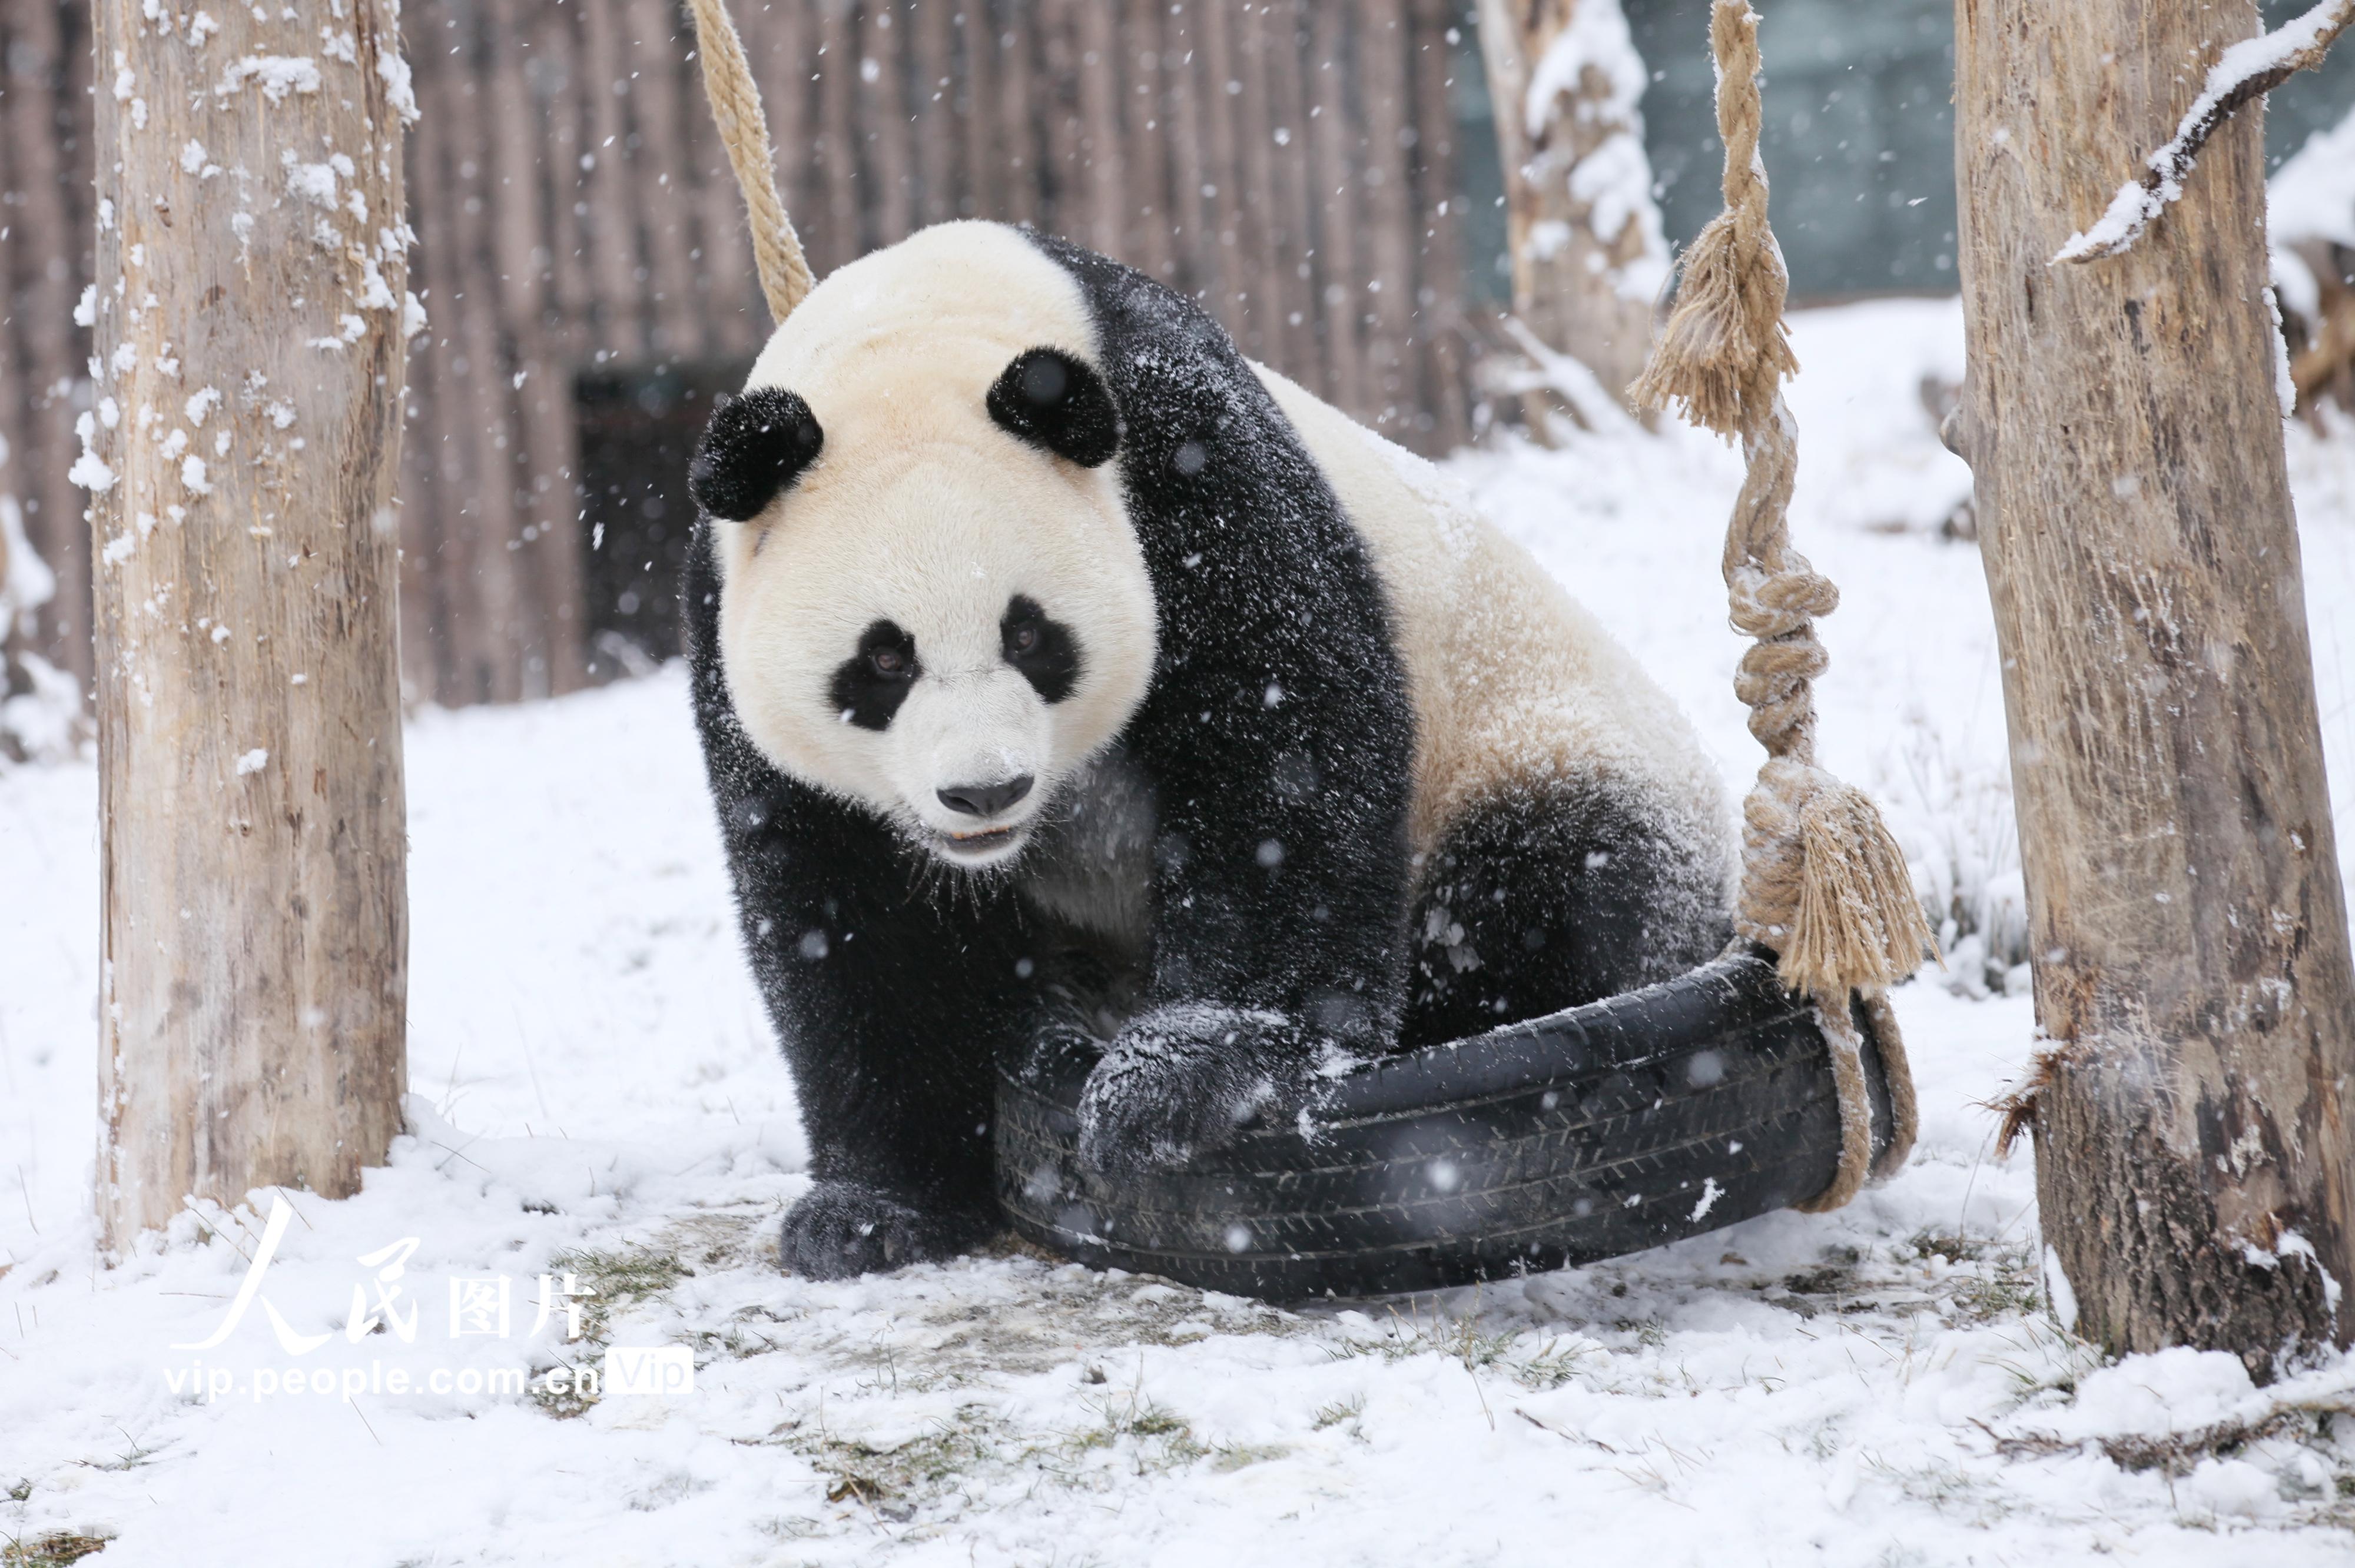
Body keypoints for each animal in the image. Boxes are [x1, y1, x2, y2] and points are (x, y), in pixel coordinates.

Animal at [683, 220, 1733, 1281]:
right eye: (884, 659)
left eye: (1031, 635)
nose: (986, 792)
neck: (918, 325)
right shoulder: (724, 617)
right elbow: (850, 915)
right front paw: (873, 1209)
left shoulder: (1187, 465)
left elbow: (1284, 748)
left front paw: (1172, 1082)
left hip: (1548, 745)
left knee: (1549, 892)